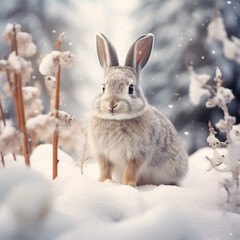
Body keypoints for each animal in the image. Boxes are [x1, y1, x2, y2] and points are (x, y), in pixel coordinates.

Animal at [87, 32, 188, 187]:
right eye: (103, 87)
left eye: (131, 88)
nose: (112, 104)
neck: (116, 120)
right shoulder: (103, 155)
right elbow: (105, 170)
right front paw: (102, 182)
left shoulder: (137, 155)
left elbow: (131, 171)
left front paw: (128, 185)